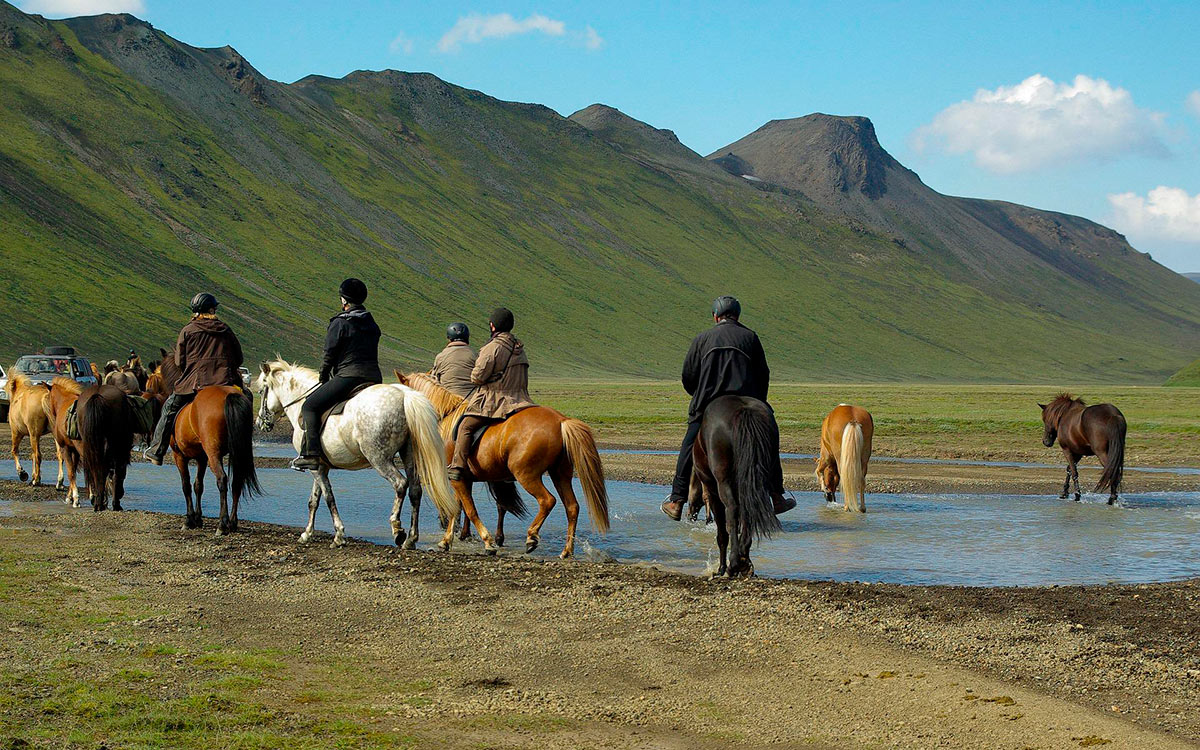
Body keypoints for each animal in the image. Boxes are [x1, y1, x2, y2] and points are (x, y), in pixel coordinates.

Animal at [151, 350, 261, 532]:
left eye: (154, 376)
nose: (146, 390)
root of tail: (229, 395)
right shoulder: (202, 457)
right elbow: (198, 485)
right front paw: (198, 518)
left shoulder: (179, 456)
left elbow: (186, 485)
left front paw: (189, 519)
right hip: (237, 451)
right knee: (237, 481)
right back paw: (232, 522)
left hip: (213, 453)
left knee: (222, 479)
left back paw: (222, 523)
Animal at [253, 360, 458, 547]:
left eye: (261, 390)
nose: (259, 423)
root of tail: (404, 395)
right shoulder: (319, 466)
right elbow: (314, 501)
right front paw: (306, 534)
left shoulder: (317, 468)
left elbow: (328, 497)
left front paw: (339, 535)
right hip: (408, 454)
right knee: (415, 490)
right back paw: (411, 538)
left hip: (378, 458)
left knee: (400, 484)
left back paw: (397, 529)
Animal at [396, 372, 609, 559]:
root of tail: (561, 420)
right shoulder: (461, 479)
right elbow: (457, 509)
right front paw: (445, 542)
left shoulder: (458, 479)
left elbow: (469, 510)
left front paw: (488, 543)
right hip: (560, 474)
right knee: (572, 507)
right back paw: (566, 551)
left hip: (527, 475)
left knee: (547, 501)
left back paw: (531, 537)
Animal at [691, 396, 782, 576]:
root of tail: (743, 409)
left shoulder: (712, 491)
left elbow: (722, 532)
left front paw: (721, 568)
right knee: (749, 509)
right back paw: (744, 559)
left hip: (723, 481)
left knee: (732, 510)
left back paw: (733, 563)